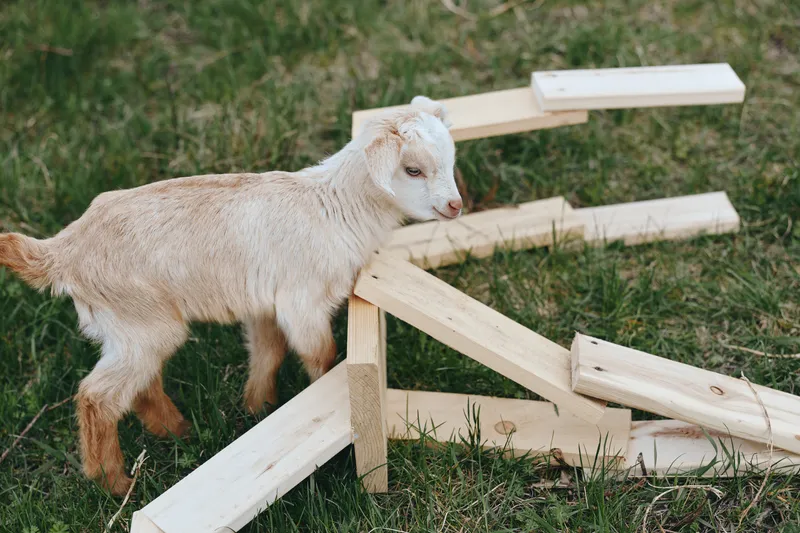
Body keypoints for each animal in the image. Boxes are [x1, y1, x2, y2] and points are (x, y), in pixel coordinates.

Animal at [0, 96, 462, 495]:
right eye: (413, 170)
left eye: (450, 160)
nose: (455, 206)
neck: (333, 207)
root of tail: (61, 251)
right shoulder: (302, 301)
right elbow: (321, 355)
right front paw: (321, 399)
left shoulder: (264, 304)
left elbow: (268, 351)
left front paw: (259, 406)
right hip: (141, 320)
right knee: (97, 398)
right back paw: (113, 483)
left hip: (128, 329)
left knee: (140, 386)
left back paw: (178, 432)